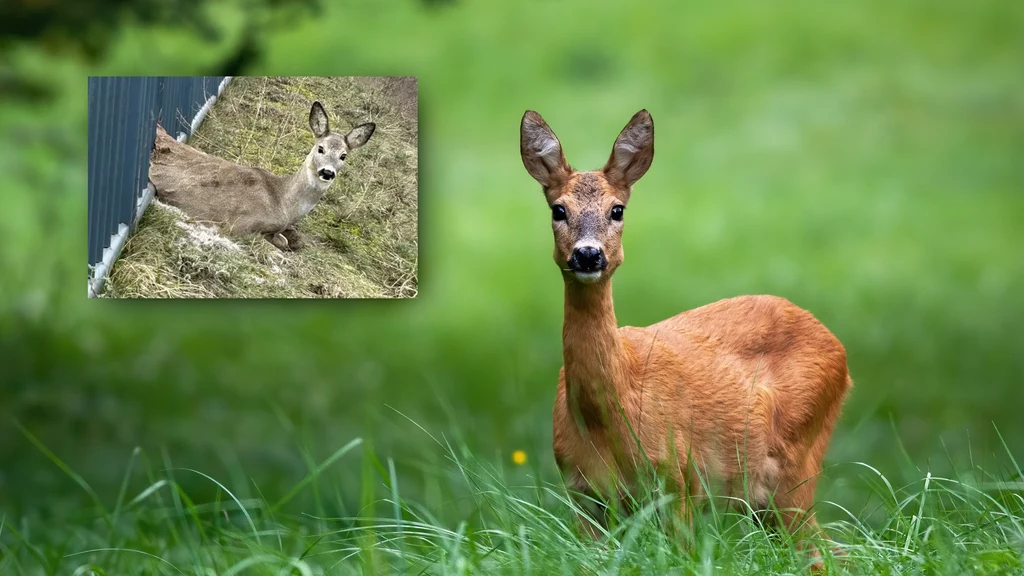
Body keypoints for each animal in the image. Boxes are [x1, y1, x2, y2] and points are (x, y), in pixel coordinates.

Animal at [148, 100, 376, 249]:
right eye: (321, 148)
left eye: (343, 156)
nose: (327, 172)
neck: (283, 203)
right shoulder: (239, 224)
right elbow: (282, 241)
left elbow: (294, 238)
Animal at [520, 108, 847, 565]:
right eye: (558, 209)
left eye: (617, 210)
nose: (587, 254)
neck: (611, 414)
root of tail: (840, 351)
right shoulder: (582, 493)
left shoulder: (680, 479)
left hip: (796, 462)